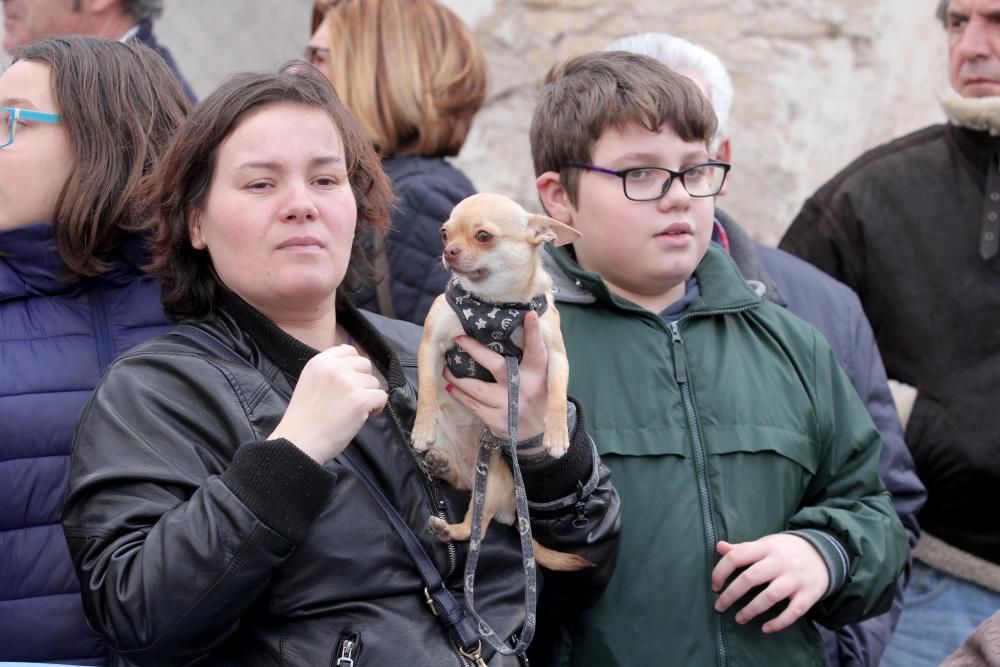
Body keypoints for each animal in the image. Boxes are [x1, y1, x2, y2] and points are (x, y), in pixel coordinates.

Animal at [410, 193, 588, 576]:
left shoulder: (555, 356)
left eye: (483, 237)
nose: (448, 251)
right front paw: (420, 428)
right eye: (444, 233)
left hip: (490, 485)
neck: (495, 306)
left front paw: (556, 435)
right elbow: (428, 389)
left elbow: (555, 396)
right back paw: (440, 470)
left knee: (473, 526)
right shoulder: (432, 344)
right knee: (465, 508)